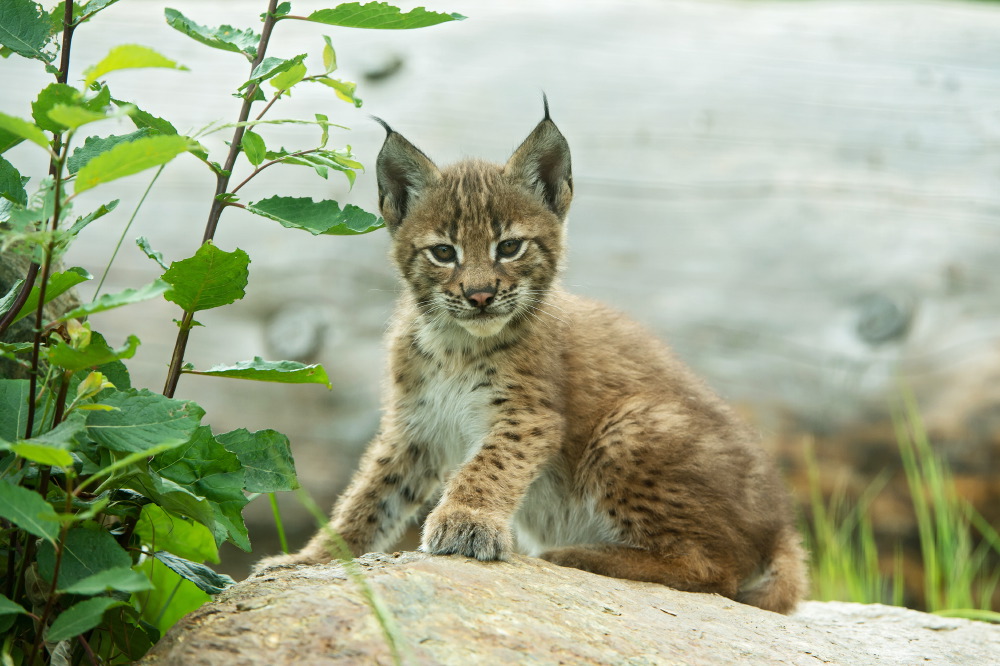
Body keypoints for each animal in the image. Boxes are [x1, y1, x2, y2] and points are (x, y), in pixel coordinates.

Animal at [258, 100, 804, 612]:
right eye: (444, 253)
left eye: (510, 247)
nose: (480, 295)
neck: (455, 342)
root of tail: (783, 527)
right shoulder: (415, 426)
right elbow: (370, 495)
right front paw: (312, 561)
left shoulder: (527, 414)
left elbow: (488, 466)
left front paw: (465, 521)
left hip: (630, 423)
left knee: (717, 573)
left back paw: (580, 555)